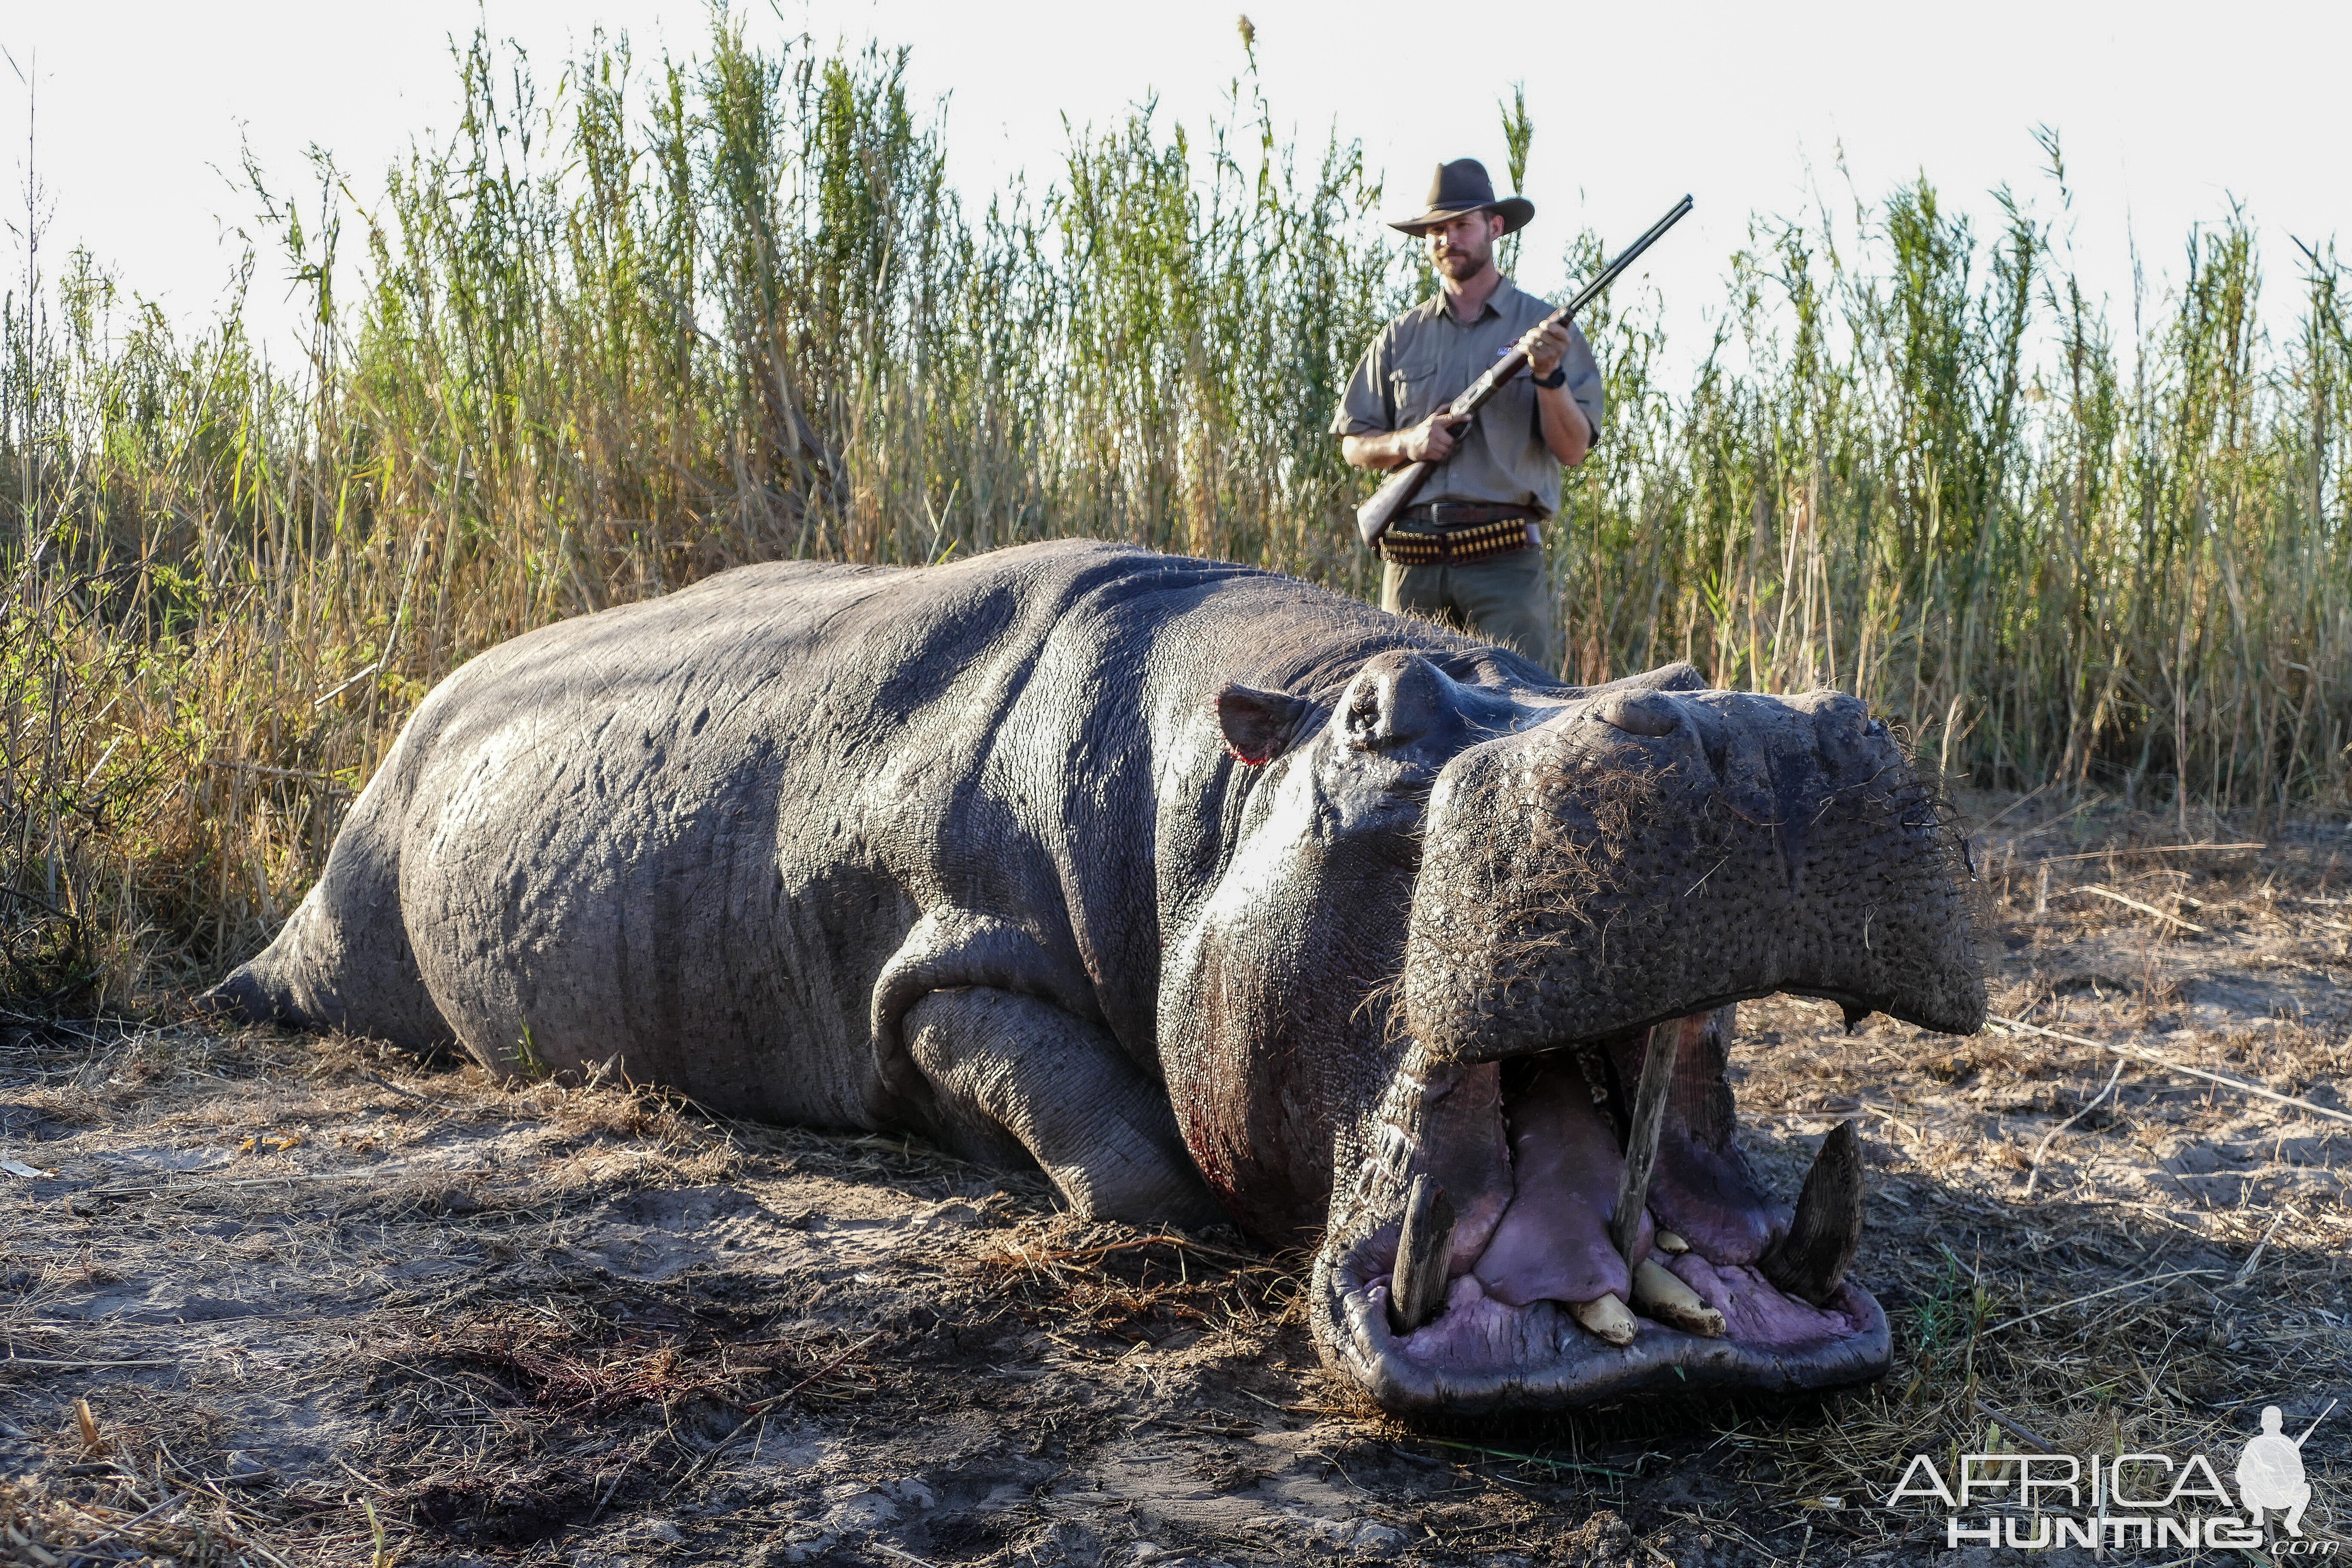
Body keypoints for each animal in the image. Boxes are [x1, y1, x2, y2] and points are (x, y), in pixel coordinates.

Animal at [211, 540, 1985, 1420]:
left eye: (1677, 669)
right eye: (1380, 722)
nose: (1747, 728)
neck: (1233, 779)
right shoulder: (953, 967)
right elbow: (1116, 1144)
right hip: (353, 899)